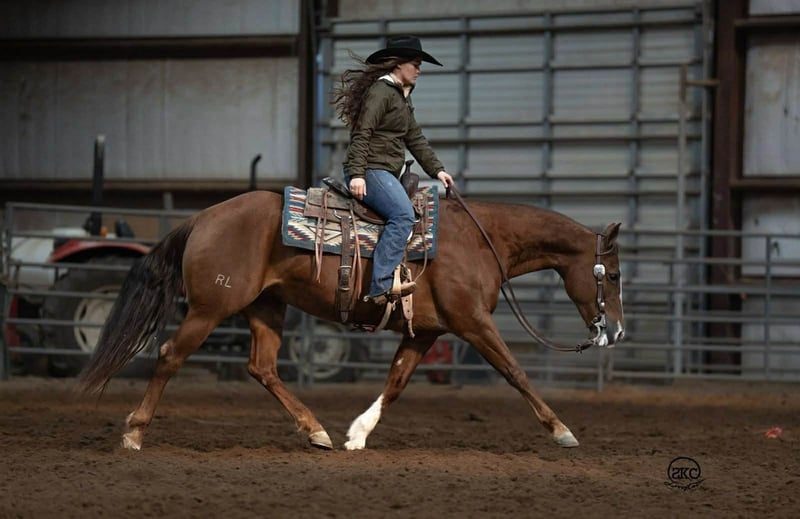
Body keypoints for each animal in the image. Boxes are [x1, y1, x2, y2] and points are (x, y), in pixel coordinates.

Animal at [78, 188, 625, 451]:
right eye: (614, 273)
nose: (615, 331)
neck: (479, 240)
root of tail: (203, 218)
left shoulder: (427, 331)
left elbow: (397, 383)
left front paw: (357, 434)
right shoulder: (471, 323)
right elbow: (516, 372)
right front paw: (562, 432)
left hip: (266, 307)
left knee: (263, 367)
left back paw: (315, 430)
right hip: (212, 309)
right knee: (171, 355)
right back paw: (134, 433)